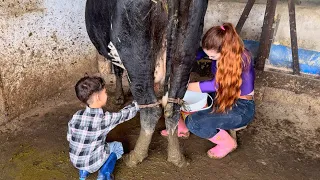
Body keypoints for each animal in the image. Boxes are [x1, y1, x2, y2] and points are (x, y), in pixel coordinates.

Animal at [86, 0, 209, 167]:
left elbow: (117, 70)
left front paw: (119, 96)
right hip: (186, 50)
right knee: (173, 107)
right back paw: (177, 158)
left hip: (135, 54)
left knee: (151, 109)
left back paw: (134, 157)